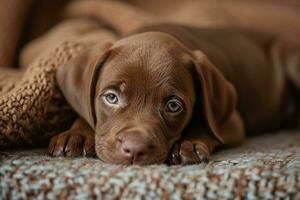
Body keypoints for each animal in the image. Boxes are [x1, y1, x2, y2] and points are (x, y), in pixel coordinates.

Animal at [48, 23, 298, 164]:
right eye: (111, 97)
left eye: (173, 106)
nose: (134, 149)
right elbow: (86, 112)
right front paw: (78, 134)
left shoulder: (231, 122)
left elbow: (207, 125)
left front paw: (189, 144)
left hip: (290, 54)